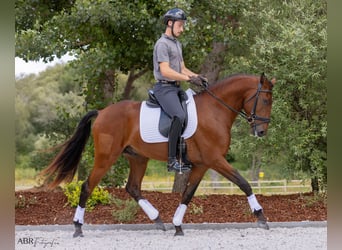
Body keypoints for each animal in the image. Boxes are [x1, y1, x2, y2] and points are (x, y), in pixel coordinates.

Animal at [40, 72, 276, 236]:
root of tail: (102, 112)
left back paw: (158, 219)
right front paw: (261, 216)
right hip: (106, 157)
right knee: (88, 186)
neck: (215, 110)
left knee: (133, 187)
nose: (262, 132)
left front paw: (177, 225)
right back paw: (77, 227)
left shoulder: (202, 164)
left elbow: (187, 194)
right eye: (265, 101)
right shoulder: (215, 160)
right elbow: (244, 183)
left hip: (138, 158)